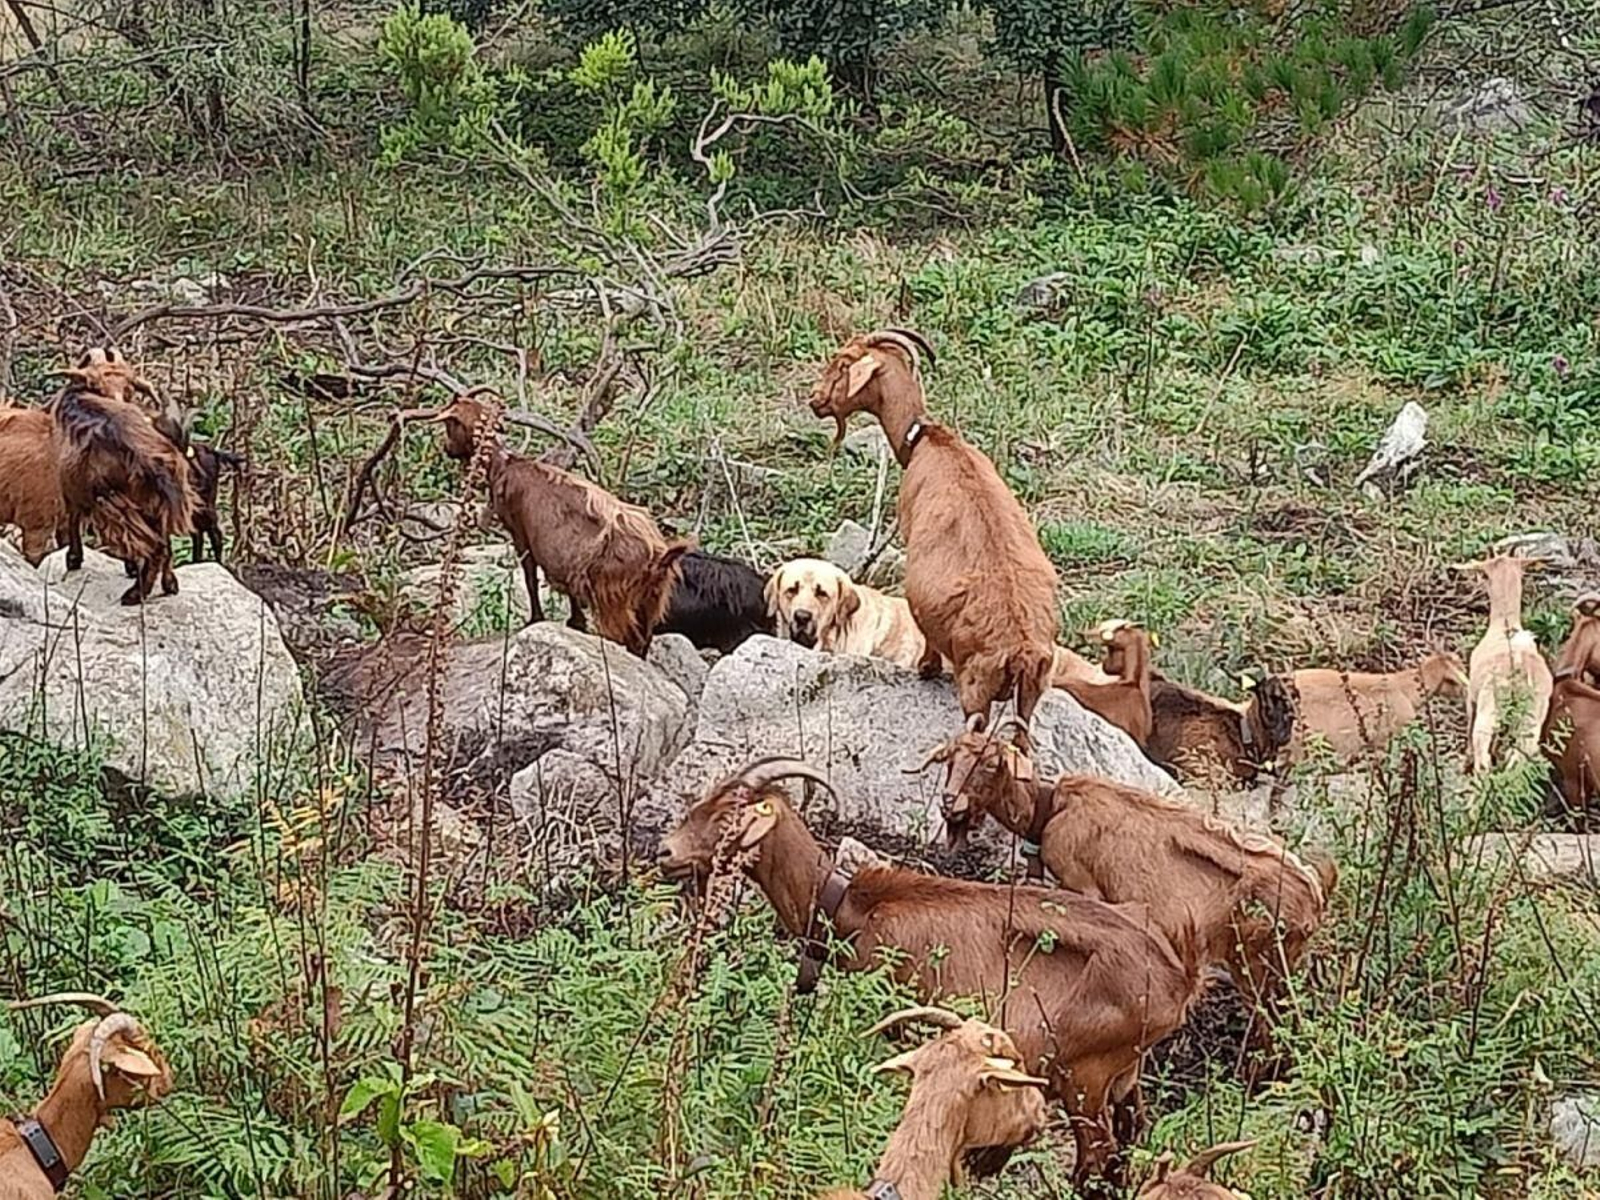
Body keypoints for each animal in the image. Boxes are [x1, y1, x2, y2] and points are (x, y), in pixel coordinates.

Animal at [50, 349, 196, 605]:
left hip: (117, 503)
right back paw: (168, 585)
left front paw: (73, 559)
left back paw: (136, 593)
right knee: (165, 542)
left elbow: (73, 519)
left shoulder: (71, 488)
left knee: (156, 547)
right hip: (159, 503)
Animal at [422, 392, 689, 657]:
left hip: (613, 598)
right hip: (650, 601)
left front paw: (535, 618)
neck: (504, 465)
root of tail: (659, 556)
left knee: (631, 640)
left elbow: (530, 577)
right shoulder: (567, 563)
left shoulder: (520, 532)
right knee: (643, 642)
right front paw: (575, 622)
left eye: (450, 423)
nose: (446, 449)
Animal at [808, 331, 1058, 733]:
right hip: (1030, 694)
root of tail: (1020, 649)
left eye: (843, 362)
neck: (927, 440)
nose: (815, 399)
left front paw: (926, 669)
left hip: (976, 686)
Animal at [924, 724, 1332, 1052]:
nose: (949, 803)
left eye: (990, 764)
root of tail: (1314, 895)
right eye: (951, 761)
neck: (1051, 809)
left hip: (1260, 965)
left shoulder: (1083, 885)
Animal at [1459, 556, 1552, 773]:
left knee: (1483, 753)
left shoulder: (1472, 696)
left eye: (1485, 575)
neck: (1505, 623)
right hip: (1531, 720)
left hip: (1490, 708)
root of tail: (1517, 669)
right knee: (1518, 757)